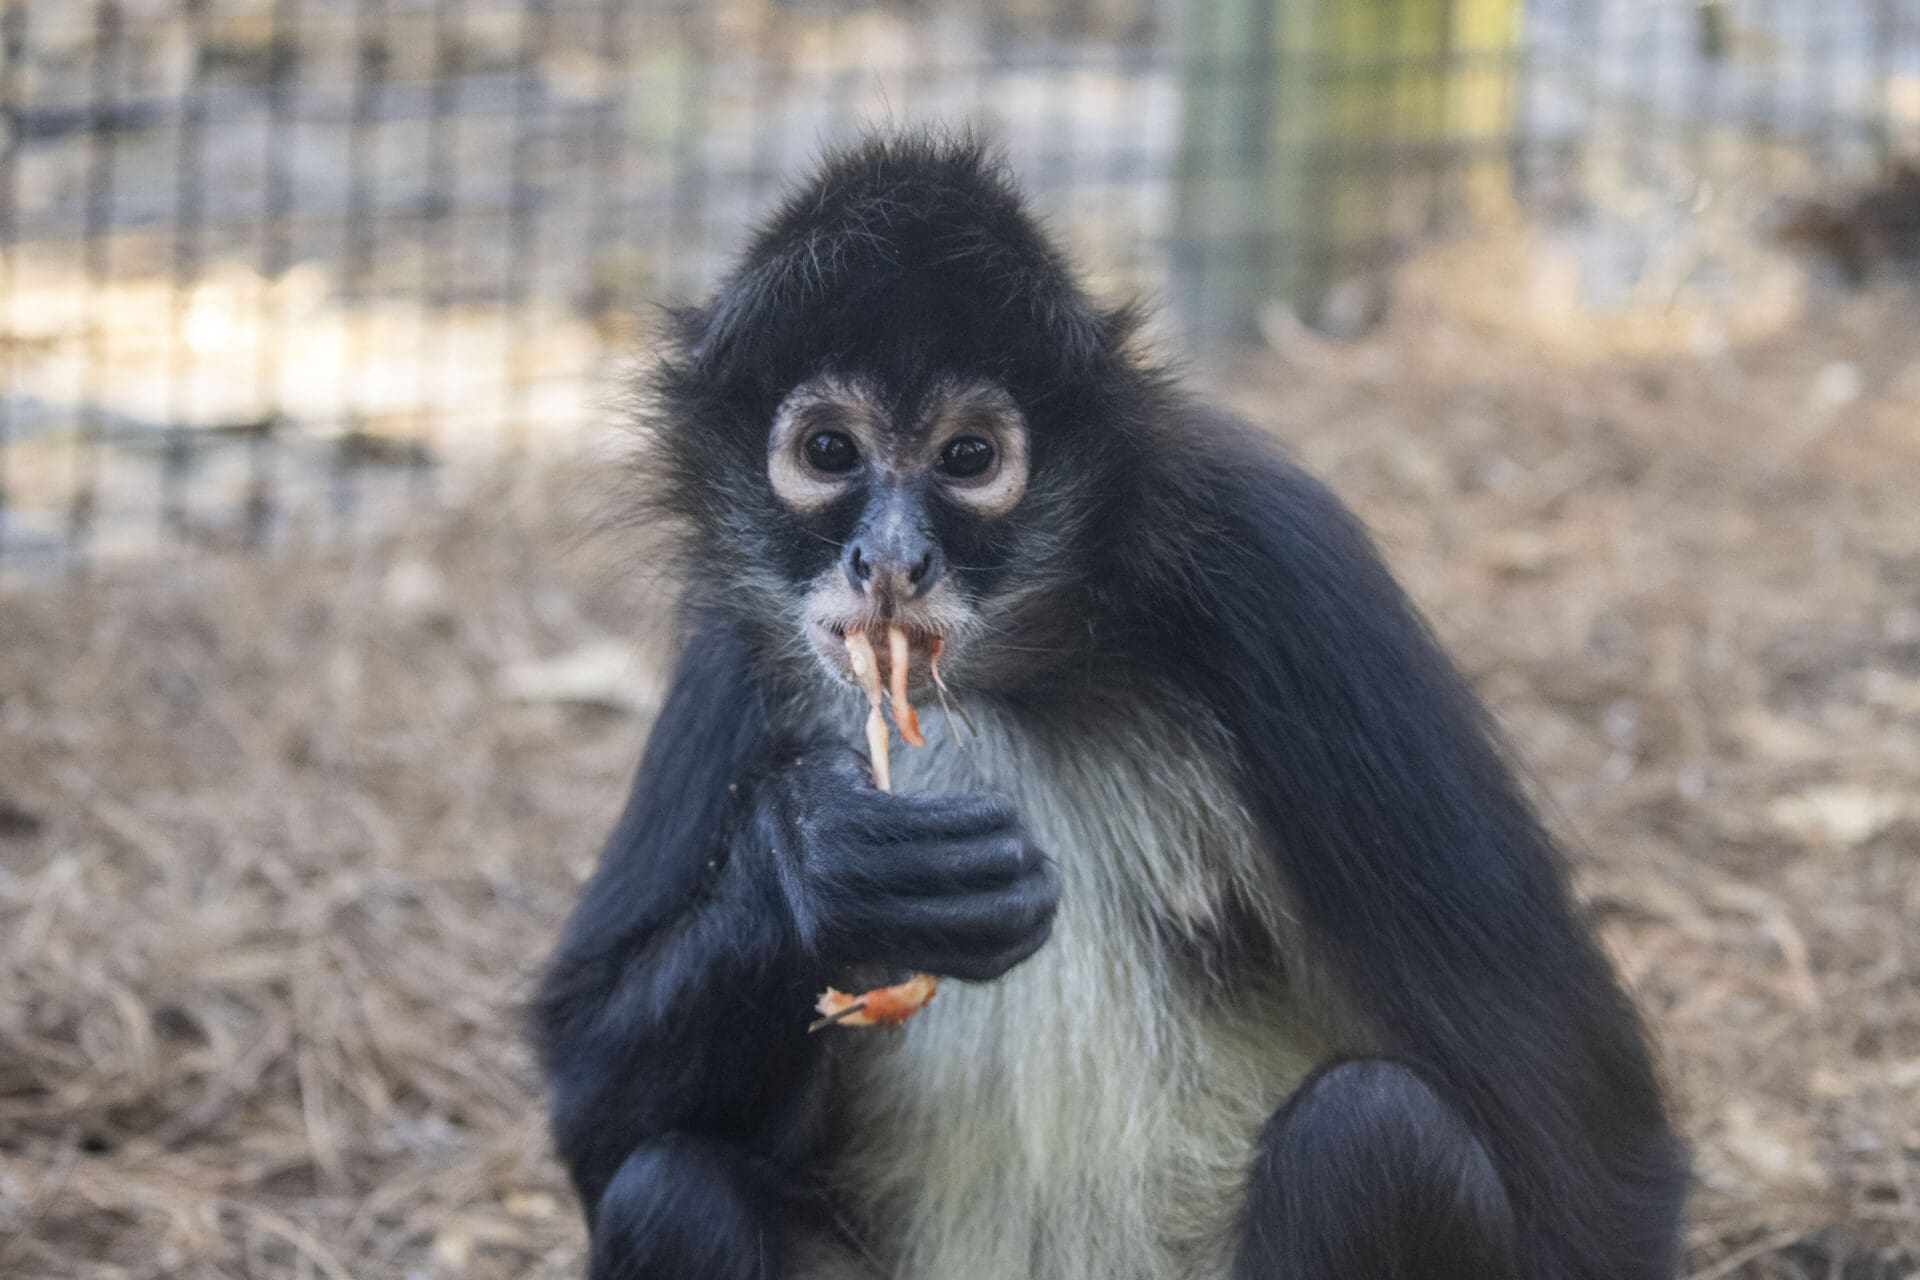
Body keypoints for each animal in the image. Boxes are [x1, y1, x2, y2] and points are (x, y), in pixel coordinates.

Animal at [533, 132, 1689, 1280]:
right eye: (828, 452)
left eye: (968, 458)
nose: (890, 561)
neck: (1007, 684)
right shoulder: (732, 647)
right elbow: (595, 1119)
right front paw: (825, 865)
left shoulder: (1279, 558)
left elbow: (1603, 1147)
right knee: (672, 1188)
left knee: (1370, 1132)